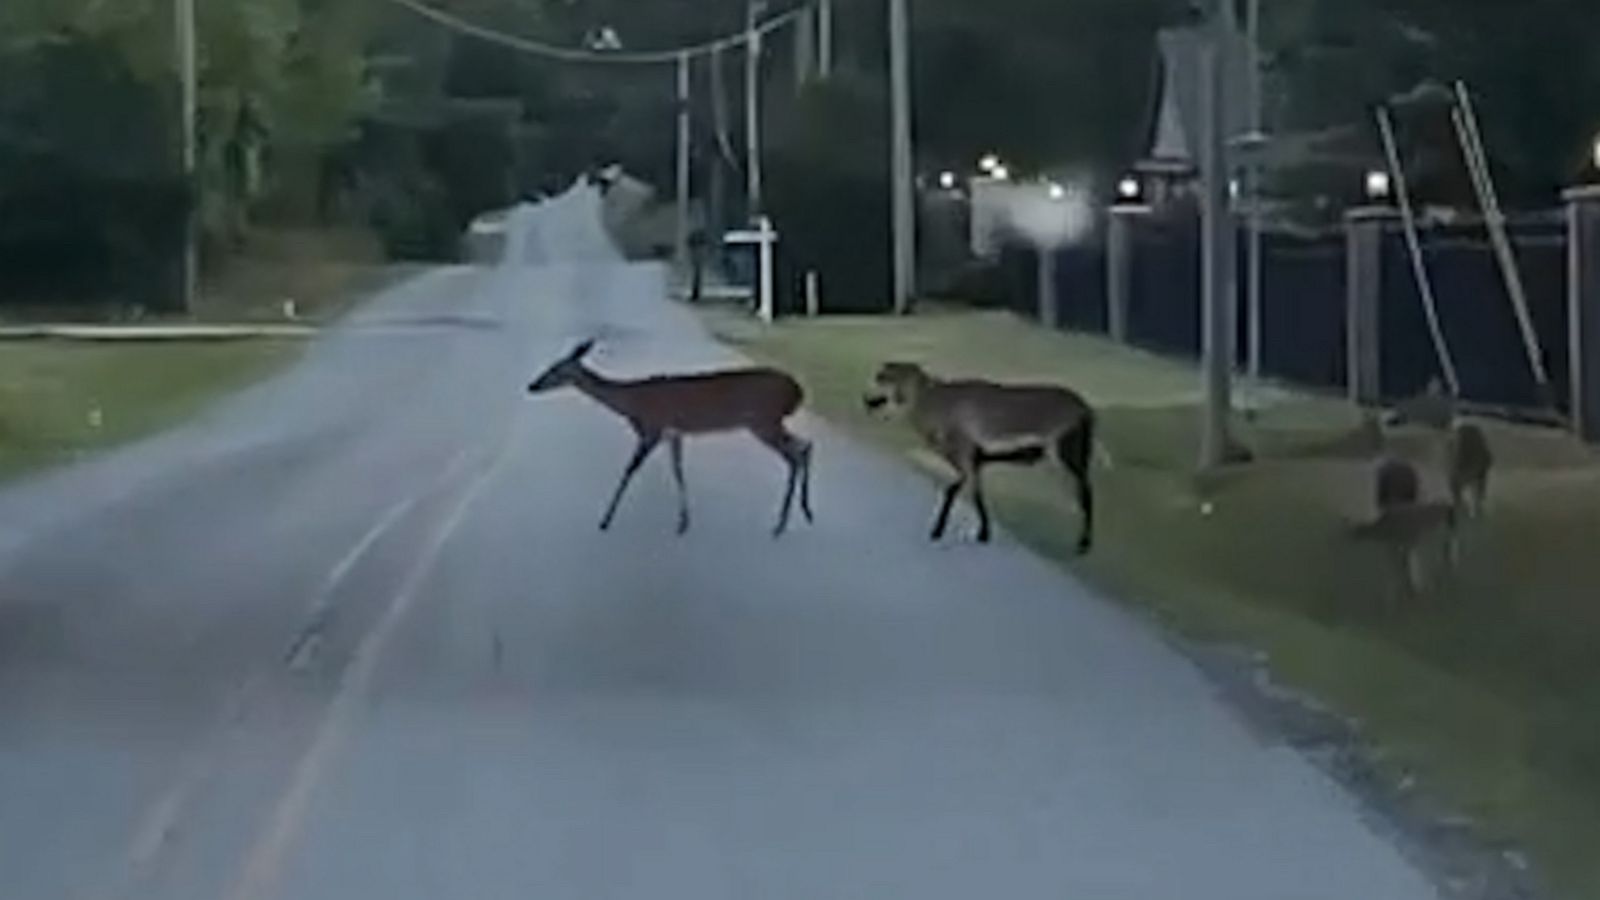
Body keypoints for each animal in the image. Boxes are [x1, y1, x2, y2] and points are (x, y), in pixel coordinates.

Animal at [531, 336, 819, 531]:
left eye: (555, 369)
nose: (532, 385)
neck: (631, 402)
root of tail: (798, 391)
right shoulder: (673, 433)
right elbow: (678, 470)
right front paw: (683, 521)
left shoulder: (652, 428)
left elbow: (629, 469)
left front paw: (605, 520)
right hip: (768, 422)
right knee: (804, 445)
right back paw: (804, 512)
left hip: (763, 420)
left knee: (796, 453)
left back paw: (781, 523)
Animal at [864, 360, 1100, 550]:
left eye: (884, 377)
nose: (866, 399)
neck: (934, 404)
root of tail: (1086, 410)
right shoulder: (973, 461)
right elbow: (976, 494)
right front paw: (983, 534)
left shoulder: (964, 456)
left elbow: (953, 491)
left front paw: (938, 531)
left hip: (1064, 458)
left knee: (1085, 494)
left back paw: (1083, 544)